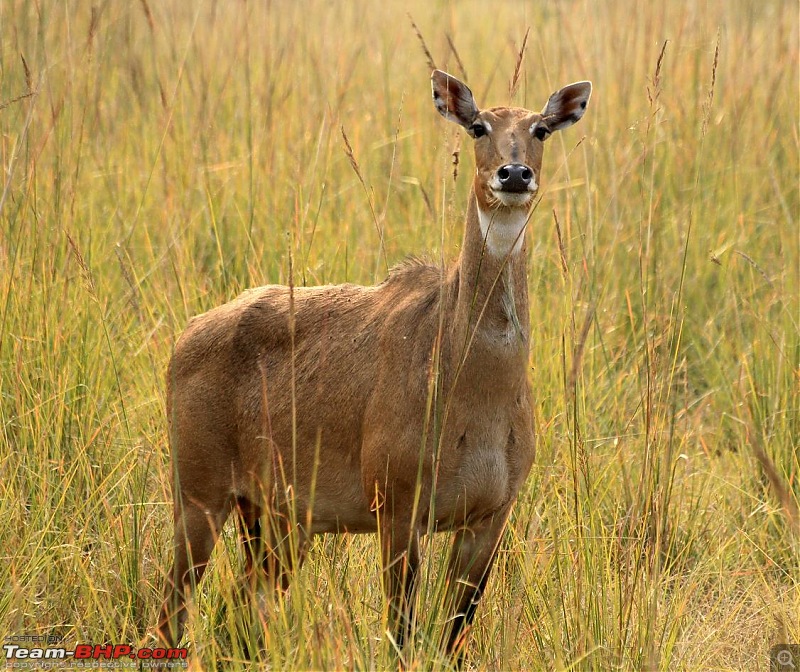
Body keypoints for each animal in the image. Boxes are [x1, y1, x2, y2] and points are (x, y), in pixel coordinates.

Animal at [159, 69, 592, 660]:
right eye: (478, 125)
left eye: (541, 129)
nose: (514, 172)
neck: (475, 388)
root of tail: (183, 339)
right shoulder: (397, 505)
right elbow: (401, 633)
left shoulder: (490, 515)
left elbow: (453, 634)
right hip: (199, 493)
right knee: (171, 607)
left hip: (275, 517)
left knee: (243, 608)